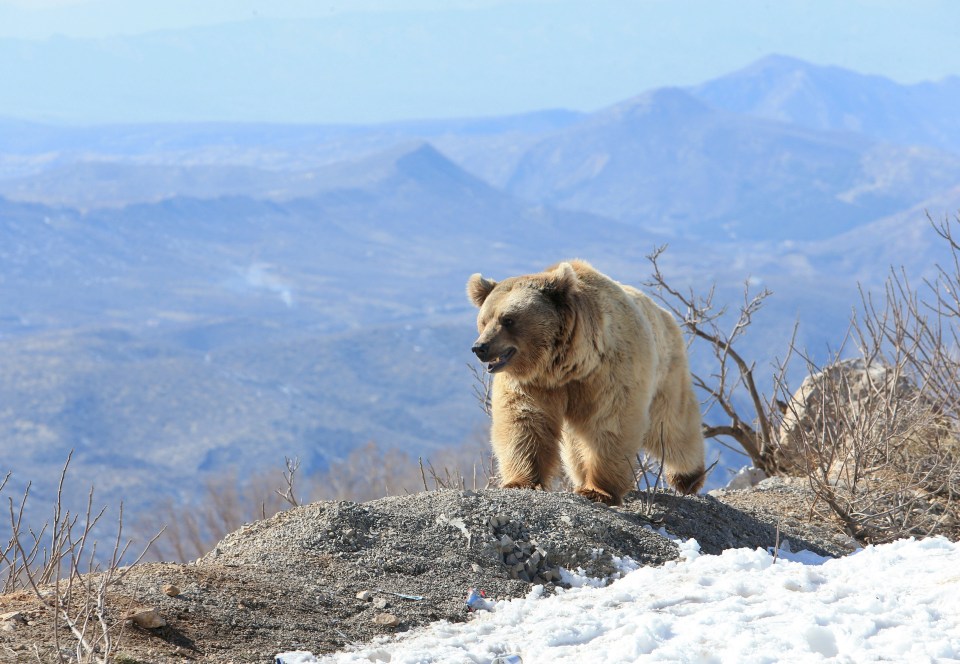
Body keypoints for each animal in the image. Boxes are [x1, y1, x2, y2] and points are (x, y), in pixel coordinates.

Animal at [466, 260, 704, 504]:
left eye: (508, 319)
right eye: (484, 321)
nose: (480, 347)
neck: (564, 365)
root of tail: (664, 312)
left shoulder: (608, 373)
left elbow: (610, 423)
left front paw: (598, 490)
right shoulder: (533, 383)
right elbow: (525, 420)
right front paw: (520, 481)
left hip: (665, 368)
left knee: (670, 423)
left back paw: (687, 476)